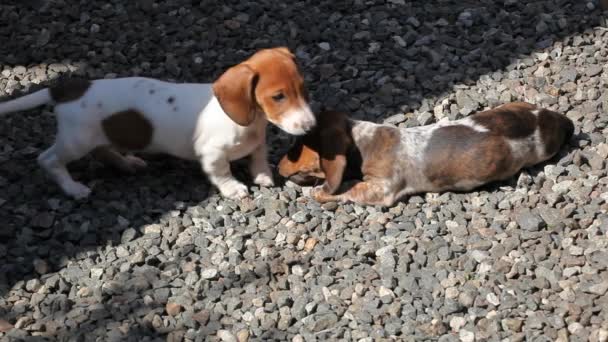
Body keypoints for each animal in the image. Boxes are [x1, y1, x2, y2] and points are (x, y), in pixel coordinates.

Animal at [0, 46, 314, 199]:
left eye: (303, 88)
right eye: (278, 96)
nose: (311, 126)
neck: (251, 122)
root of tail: (68, 89)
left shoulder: (258, 143)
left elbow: (258, 158)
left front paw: (262, 176)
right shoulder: (211, 154)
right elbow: (222, 172)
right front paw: (233, 189)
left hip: (95, 135)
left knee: (102, 151)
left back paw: (127, 163)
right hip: (75, 140)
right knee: (49, 159)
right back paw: (73, 188)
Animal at [280, 102, 576, 206]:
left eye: (295, 147)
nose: (278, 165)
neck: (362, 140)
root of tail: (558, 119)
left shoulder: (381, 189)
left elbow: (347, 189)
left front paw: (318, 192)